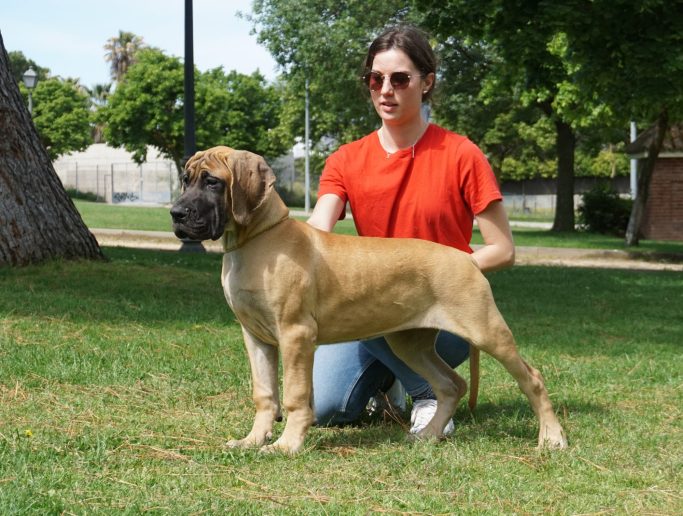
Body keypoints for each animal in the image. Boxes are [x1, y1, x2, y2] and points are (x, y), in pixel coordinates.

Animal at [171, 145, 568, 452]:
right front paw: (252, 440)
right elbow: (264, 393)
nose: (176, 214)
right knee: (451, 385)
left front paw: (287, 445)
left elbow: (296, 396)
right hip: (409, 342)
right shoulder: (256, 337)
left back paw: (552, 438)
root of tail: (467, 257)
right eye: (185, 179)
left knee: (531, 378)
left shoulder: (295, 334)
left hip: (485, 329)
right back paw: (429, 434)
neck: (255, 238)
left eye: (212, 181)